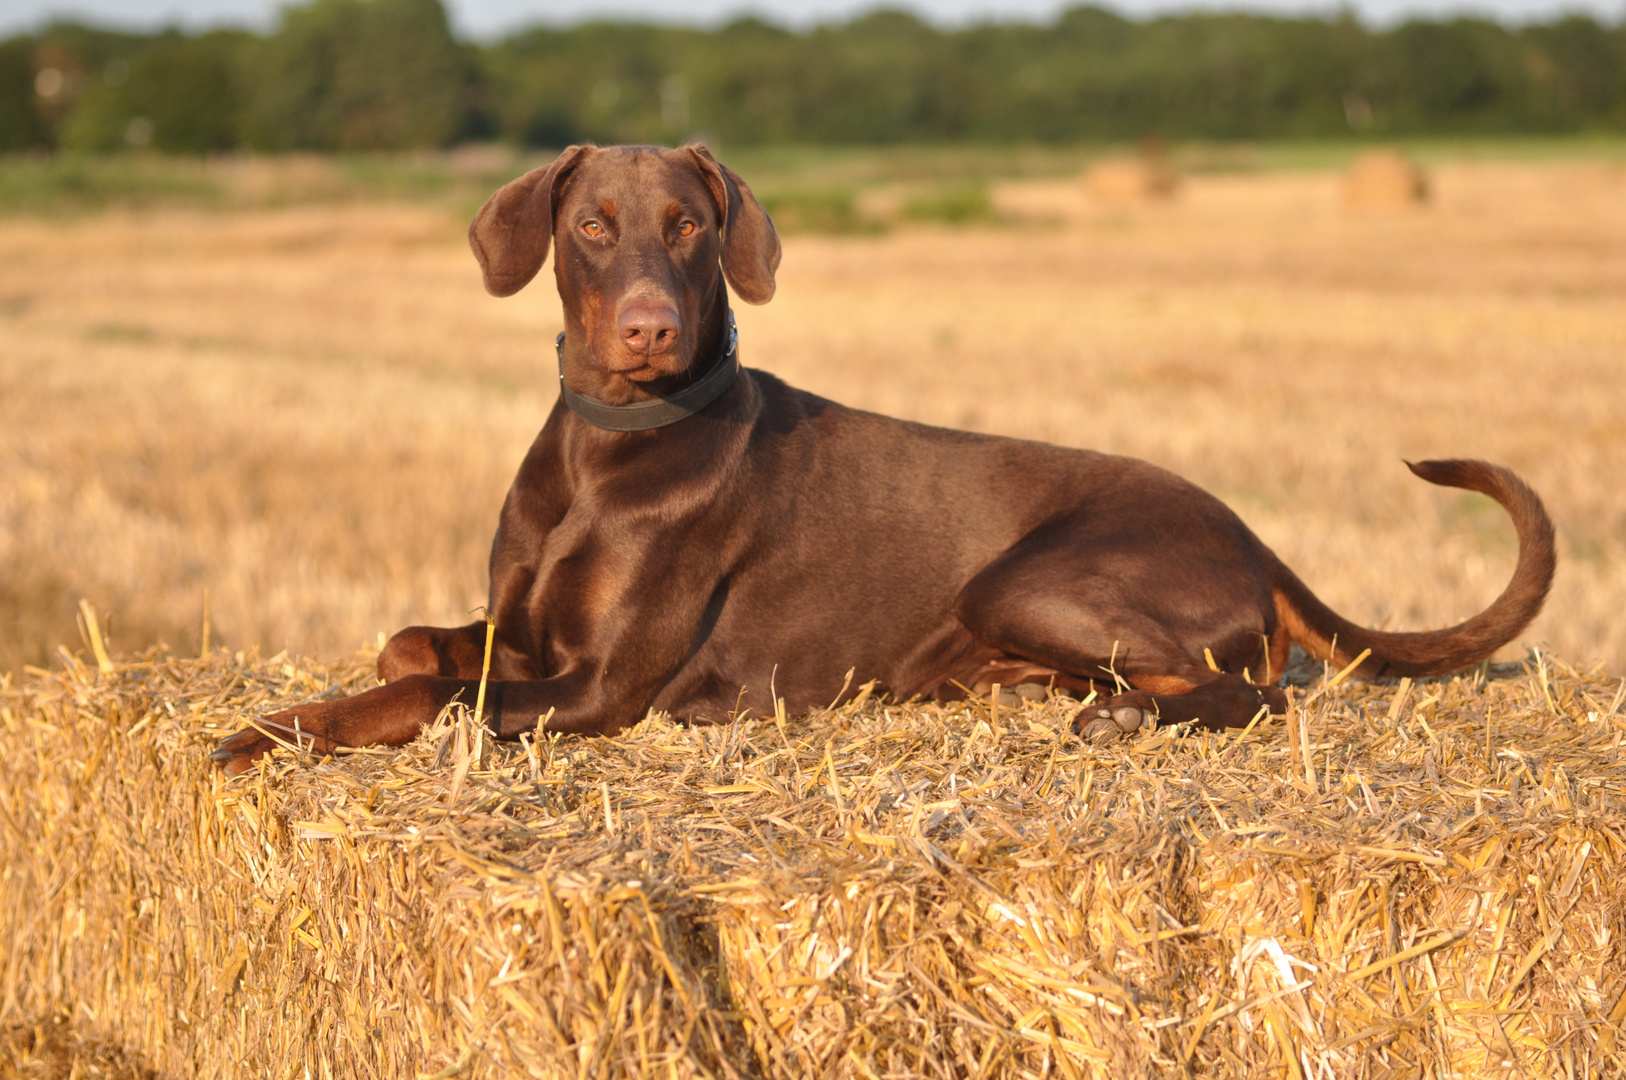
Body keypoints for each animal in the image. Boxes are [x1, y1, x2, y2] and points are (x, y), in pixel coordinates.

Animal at [209, 145, 1554, 777]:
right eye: (591, 225)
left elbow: (428, 694)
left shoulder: (600, 692)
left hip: (1026, 577)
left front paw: (267, 733)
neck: (608, 450)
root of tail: (1252, 535)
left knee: (1258, 688)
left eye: (687, 224)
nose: (648, 329)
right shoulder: (527, 635)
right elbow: (410, 647)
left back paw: (1125, 717)